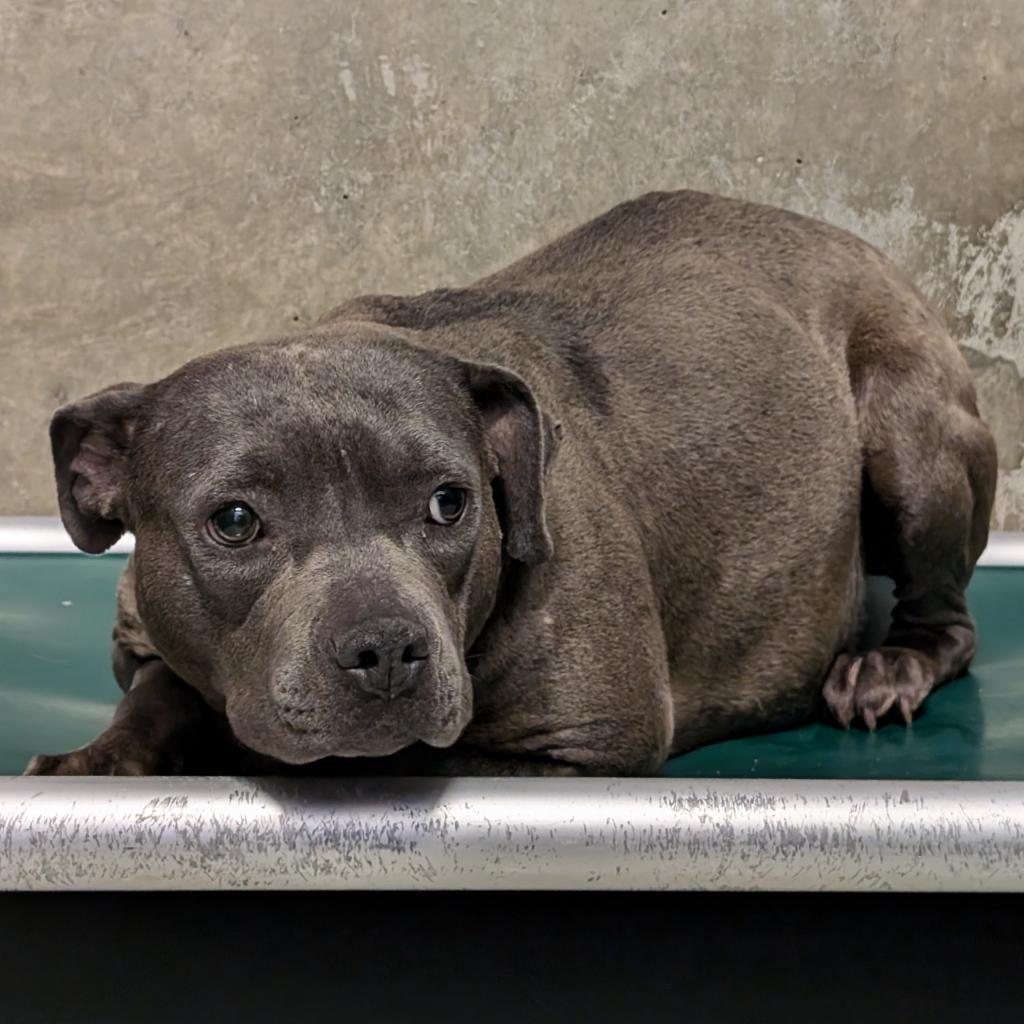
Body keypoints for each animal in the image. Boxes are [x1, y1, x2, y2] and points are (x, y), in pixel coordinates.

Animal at [25, 190, 999, 774]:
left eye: (449, 503)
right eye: (233, 521)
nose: (384, 648)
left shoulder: (586, 747)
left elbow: (424, 756)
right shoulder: (144, 643)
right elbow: (156, 698)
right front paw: (91, 762)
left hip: (909, 429)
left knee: (949, 620)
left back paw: (887, 668)